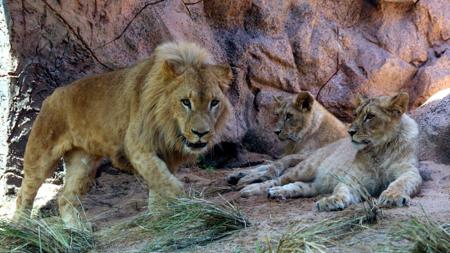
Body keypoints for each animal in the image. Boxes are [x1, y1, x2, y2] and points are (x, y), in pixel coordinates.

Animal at [14, 42, 232, 227]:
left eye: (214, 102)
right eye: (186, 102)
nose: (201, 133)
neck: (168, 127)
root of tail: (52, 95)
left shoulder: (166, 154)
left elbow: (159, 184)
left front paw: (160, 214)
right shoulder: (138, 147)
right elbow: (165, 181)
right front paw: (188, 204)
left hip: (83, 161)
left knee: (65, 197)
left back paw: (77, 230)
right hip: (41, 155)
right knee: (24, 193)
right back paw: (21, 228)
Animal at [256, 92, 422, 211]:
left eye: (370, 116)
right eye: (356, 114)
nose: (350, 132)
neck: (379, 149)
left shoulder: (409, 171)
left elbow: (400, 182)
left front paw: (392, 196)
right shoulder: (353, 178)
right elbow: (341, 189)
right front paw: (332, 200)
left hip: (315, 185)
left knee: (299, 186)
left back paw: (280, 192)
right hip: (306, 167)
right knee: (279, 179)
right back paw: (261, 189)